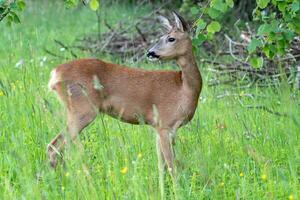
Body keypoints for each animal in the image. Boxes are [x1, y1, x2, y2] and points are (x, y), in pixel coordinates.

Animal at [47, 10, 202, 195]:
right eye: (162, 37)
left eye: (171, 38)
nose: (150, 53)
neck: (184, 89)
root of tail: (55, 74)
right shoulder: (165, 125)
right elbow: (171, 166)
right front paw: (178, 192)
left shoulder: (159, 128)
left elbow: (161, 166)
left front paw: (162, 192)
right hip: (83, 109)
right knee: (54, 146)